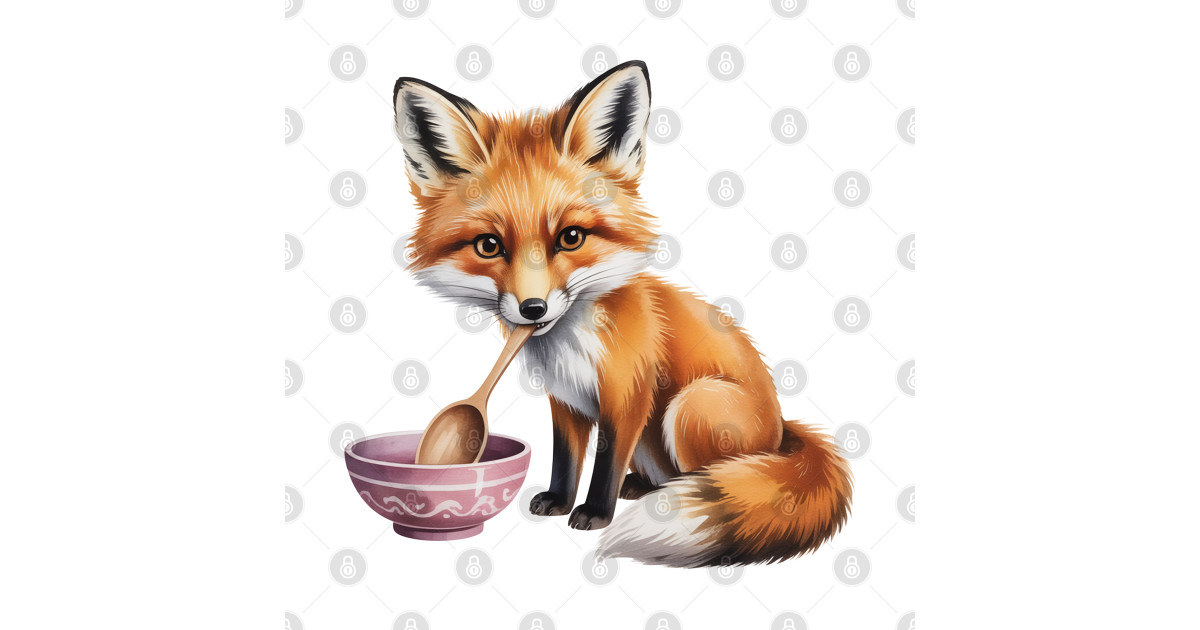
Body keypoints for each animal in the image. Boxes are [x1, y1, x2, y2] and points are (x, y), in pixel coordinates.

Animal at [392, 60, 852, 568]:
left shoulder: (627, 394)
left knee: (727, 477)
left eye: (571, 237)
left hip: (691, 406)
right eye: (489, 246)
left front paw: (595, 512)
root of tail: (782, 432)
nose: (533, 309)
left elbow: (605, 464)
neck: (571, 344)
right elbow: (566, 459)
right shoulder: (565, 400)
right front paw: (558, 501)